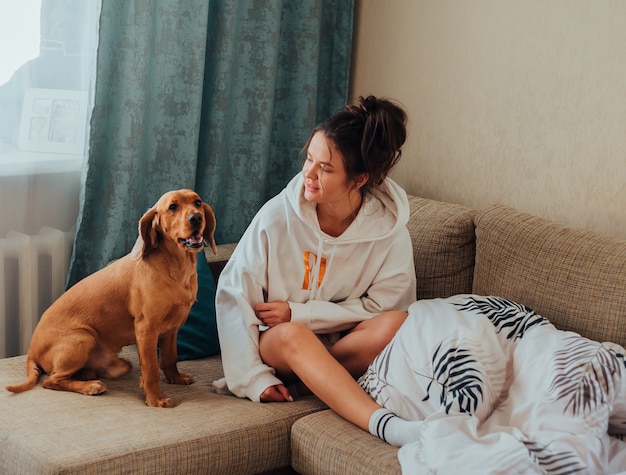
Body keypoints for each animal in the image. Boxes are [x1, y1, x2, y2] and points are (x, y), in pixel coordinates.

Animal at [4, 190, 216, 410]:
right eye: (173, 207)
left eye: (197, 202)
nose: (196, 218)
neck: (176, 268)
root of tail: (31, 351)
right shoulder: (146, 330)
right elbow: (151, 368)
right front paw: (155, 399)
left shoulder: (172, 329)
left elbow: (169, 358)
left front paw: (175, 378)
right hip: (83, 337)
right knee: (51, 380)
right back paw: (91, 386)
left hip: (118, 361)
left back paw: (88, 375)